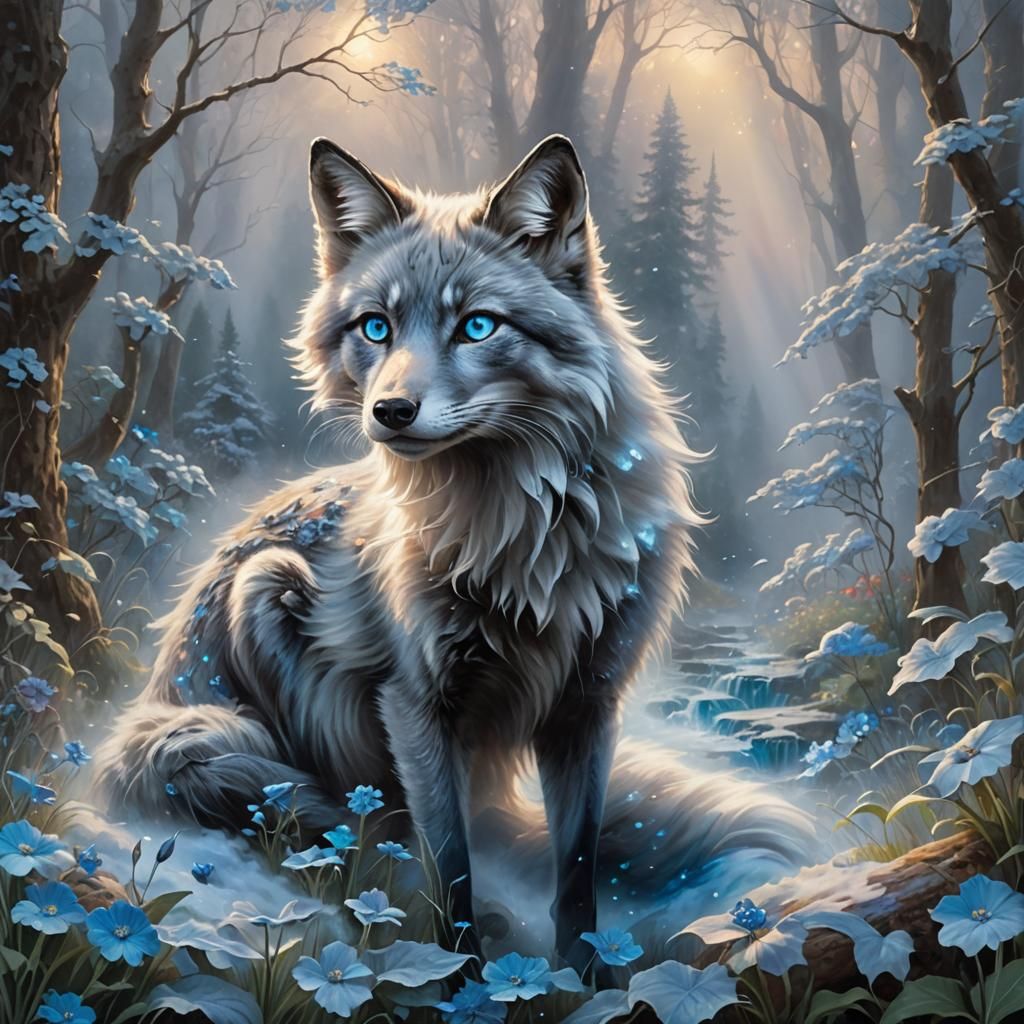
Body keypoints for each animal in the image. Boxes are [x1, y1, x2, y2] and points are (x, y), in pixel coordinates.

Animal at [95, 135, 811, 971]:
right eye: (376, 328)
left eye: (477, 327)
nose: (390, 411)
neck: (520, 543)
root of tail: (154, 701)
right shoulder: (416, 707)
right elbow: (452, 865)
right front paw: (458, 973)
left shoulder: (588, 705)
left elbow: (576, 865)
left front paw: (582, 973)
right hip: (266, 591)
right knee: (355, 819)